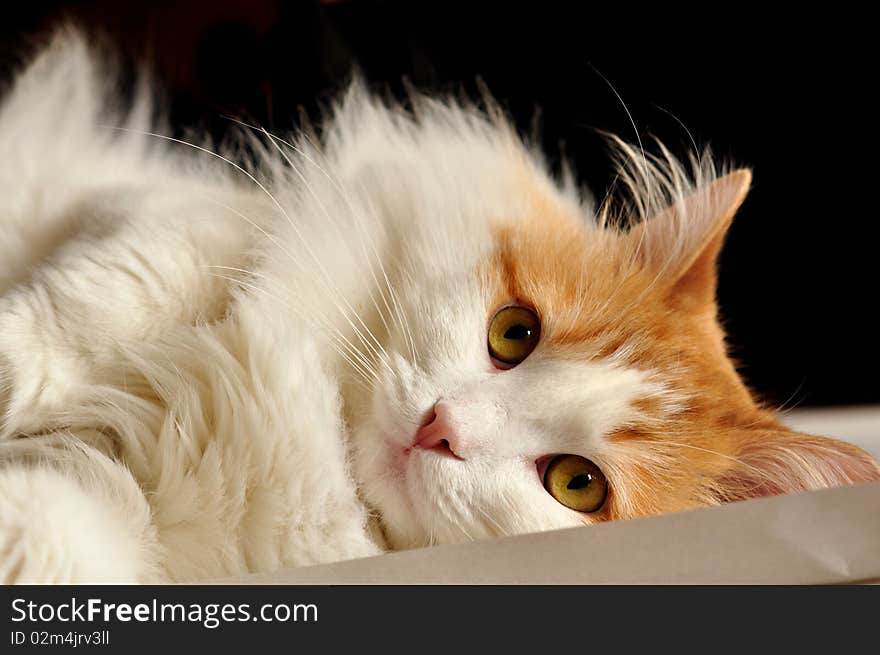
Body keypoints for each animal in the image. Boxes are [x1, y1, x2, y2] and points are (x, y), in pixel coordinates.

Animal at [0, 30, 876, 584]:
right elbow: (84, 309)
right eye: (514, 333)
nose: (439, 426)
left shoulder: (133, 514)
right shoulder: (166, 214)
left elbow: (49, 531)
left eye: (578, 483)